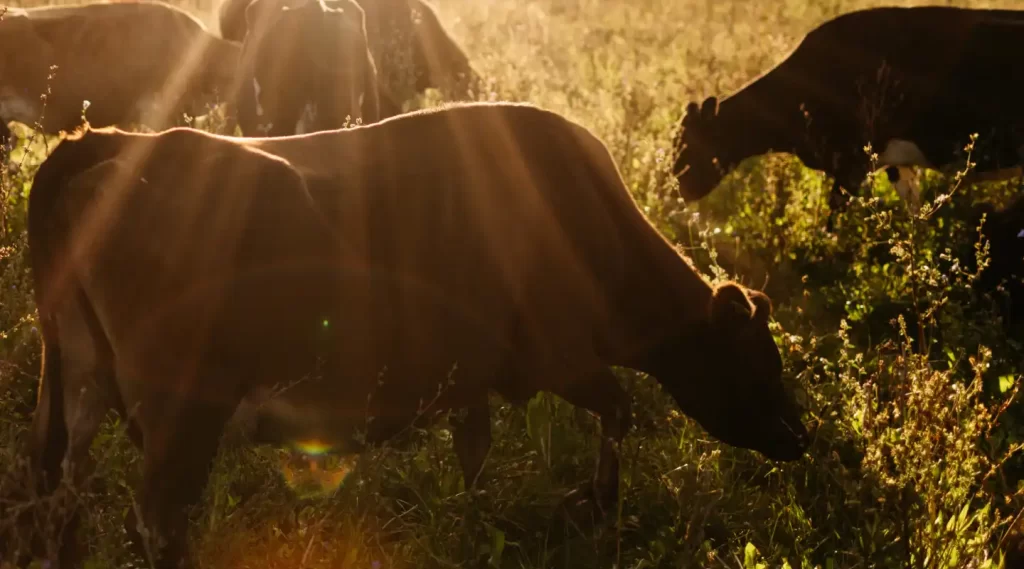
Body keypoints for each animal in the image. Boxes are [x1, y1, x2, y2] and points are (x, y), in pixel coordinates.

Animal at [12, 102, 802, 569]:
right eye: (761, 363)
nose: (798, 439)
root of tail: (112, 144)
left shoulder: (475, 373)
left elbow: (475, 453)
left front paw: (474, 522)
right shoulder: (560, 356)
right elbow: (620, 408)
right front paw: (595, 506)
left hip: (75, 379)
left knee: (57, 490)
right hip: (183, 406)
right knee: (157, 518)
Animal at [671, 6, 1024, 229]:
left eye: (688, 149)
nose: (676, 198)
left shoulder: (851, 164)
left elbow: (834, 220)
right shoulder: (892, 162)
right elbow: (915, 213)